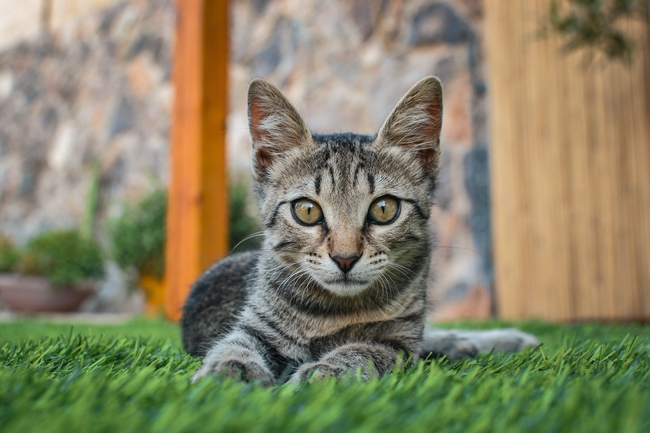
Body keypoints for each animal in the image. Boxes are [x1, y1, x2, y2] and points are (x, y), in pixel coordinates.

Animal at [182, 76, 536, 384]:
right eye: (306, 211)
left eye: (384, 209)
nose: (345, 258)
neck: (337, 312)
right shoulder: (257, 325)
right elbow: (234, 345)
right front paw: (227, 371)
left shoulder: (397, 341)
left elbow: (361, 351)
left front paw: (326, 371)